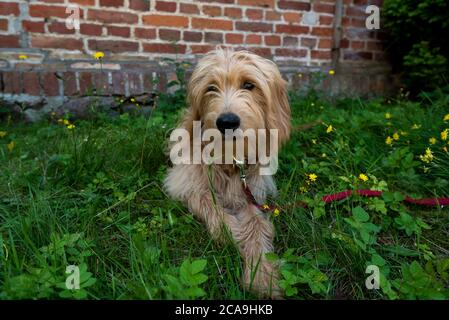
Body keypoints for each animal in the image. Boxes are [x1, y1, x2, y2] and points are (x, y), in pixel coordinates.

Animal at [164, 48, 290, 298]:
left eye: (249, 85)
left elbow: (257, 225)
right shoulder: (187, 185)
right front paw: (233, 233)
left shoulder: (251, 194)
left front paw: (262, 274)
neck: (230, 160)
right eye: (211, 87)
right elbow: (211, 207)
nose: (227, 121)